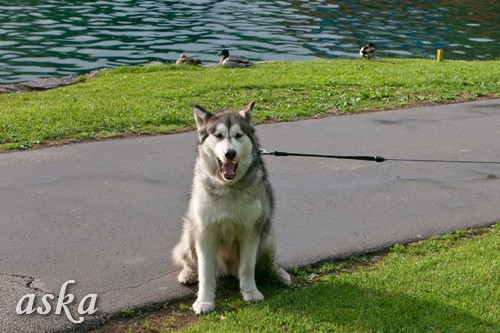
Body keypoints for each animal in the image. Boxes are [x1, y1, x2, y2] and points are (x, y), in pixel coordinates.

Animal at [173, 100, 292, 312]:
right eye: (218, 136)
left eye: (238, 135)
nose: (230, 154)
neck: (227, 188)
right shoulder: (205, 231)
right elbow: (205, 272)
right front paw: (204, 301)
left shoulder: (251, 230)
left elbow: (247, 267)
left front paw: (250, 292)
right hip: (190, 232)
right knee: (189, 259)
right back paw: (188, 273)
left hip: (268, 236)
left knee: (267, 262)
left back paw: (279, 273)